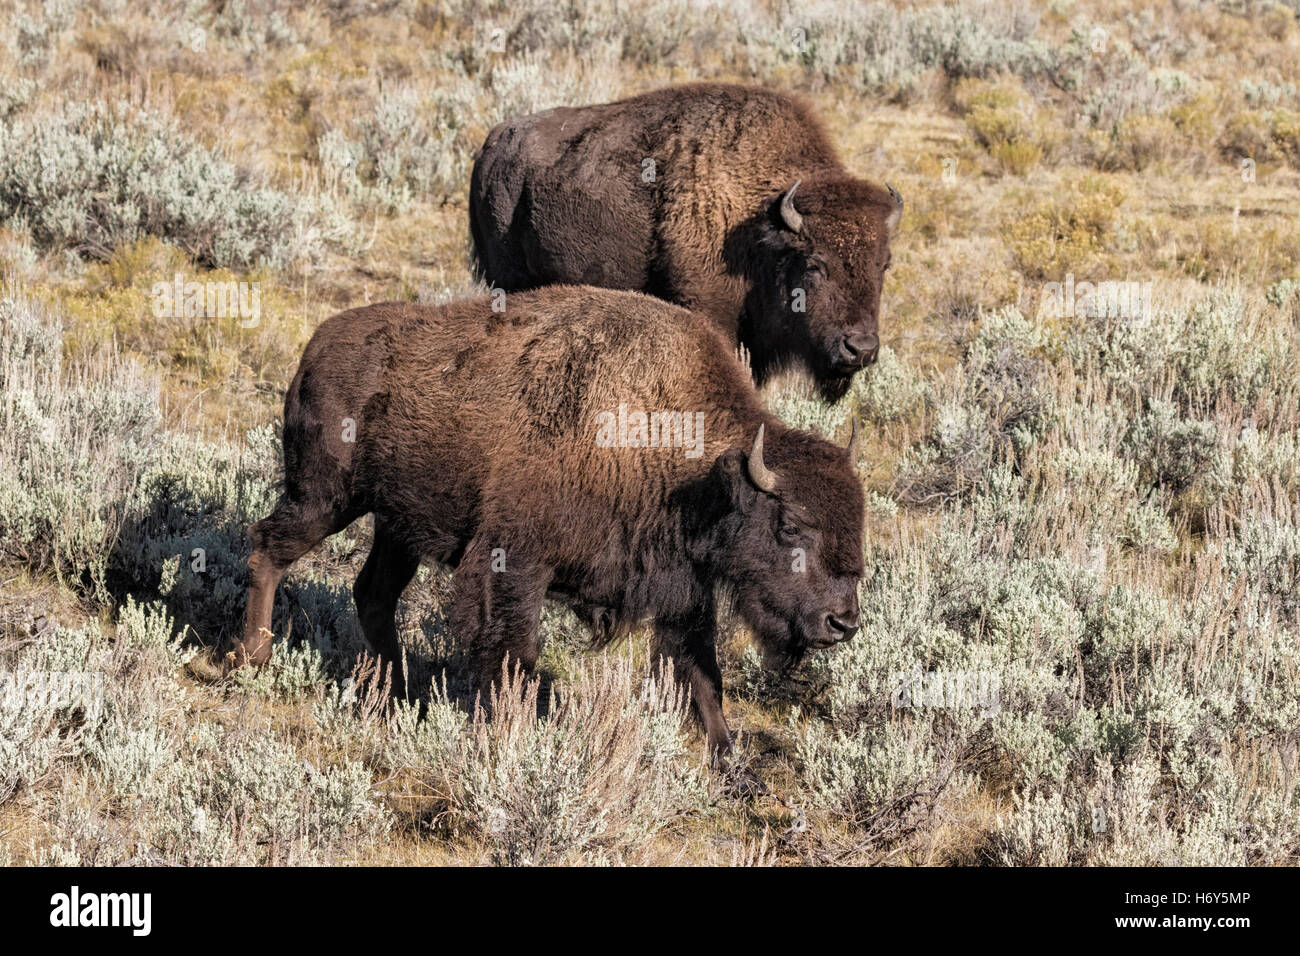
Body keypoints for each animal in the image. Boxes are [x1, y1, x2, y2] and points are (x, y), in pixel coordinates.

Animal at [228, 286, 865, 755]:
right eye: (791, 527)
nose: (843, 623)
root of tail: (315, 348)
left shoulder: (684, 591)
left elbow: (703, 673)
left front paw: (727, 754)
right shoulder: (514, 563)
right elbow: (515, 652)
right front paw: (512, 729)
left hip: (396, 526)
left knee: (372, 593)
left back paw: (397, 692)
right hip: (325, 498)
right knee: (267, 548)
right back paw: (253, 658)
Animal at [469, 82, 902, 403]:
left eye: (883, 265)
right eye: (814, 264)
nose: (860, 348)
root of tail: (492, 145)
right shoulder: (708, 310)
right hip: (506, 281)